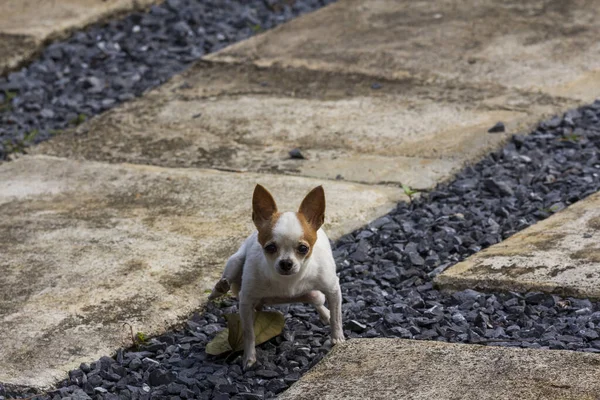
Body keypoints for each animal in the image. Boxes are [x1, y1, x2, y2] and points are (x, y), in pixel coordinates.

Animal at [210, 184, 342, 368]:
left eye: (303, 248)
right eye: (270, 248)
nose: (286, 263)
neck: (288, 282)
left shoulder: (332, 289)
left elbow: (337, 318)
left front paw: (338, 338)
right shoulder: (246, 300)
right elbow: (249, 332)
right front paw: (249, 357)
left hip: (314, 294)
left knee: (318, 301)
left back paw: (325, 315)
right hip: (235, 262)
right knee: (228, 277)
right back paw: (219, 288)